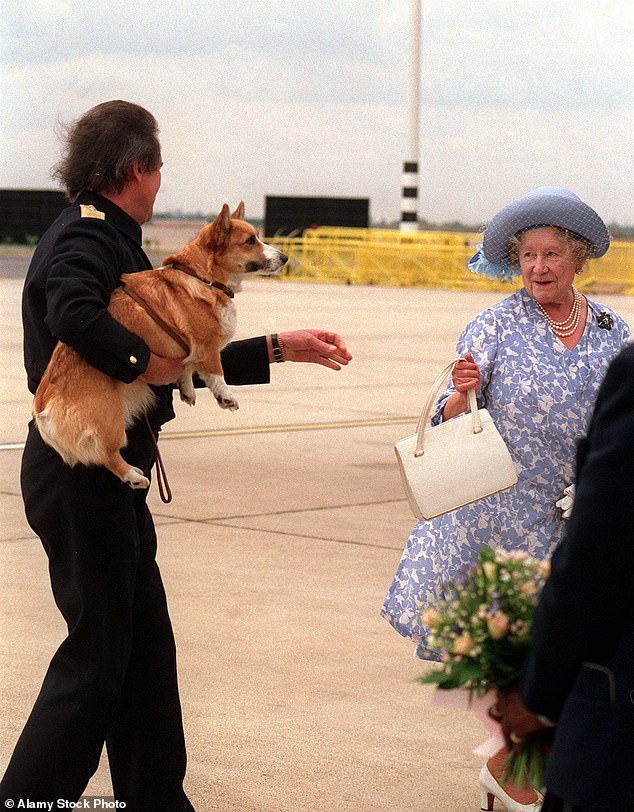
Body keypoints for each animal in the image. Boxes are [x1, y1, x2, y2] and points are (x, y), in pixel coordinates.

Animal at [34, 202, 286, 488]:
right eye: (249, 241)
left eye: (258, 237)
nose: (285, 257)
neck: (203, 277)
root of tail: (42, 408)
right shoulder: (206, 345)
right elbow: (216, 373)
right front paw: (226, 397)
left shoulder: (187, 351)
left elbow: (186, 368)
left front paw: (187, 390)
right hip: (110, 421)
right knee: (107, 454)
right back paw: (133, 476)